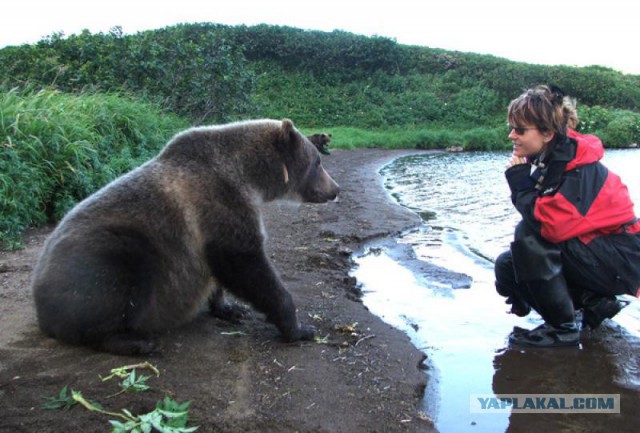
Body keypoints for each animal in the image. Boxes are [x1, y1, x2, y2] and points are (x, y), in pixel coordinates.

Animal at [32, 119, 340, 354]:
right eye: (317, 162)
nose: (336, 189)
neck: (248, 176)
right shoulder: (220, 202)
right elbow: (247, 265)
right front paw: (301, 328)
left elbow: (220, 270)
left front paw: (230, 308)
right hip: (102, 258)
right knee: (118, 276)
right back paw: (135, 342)